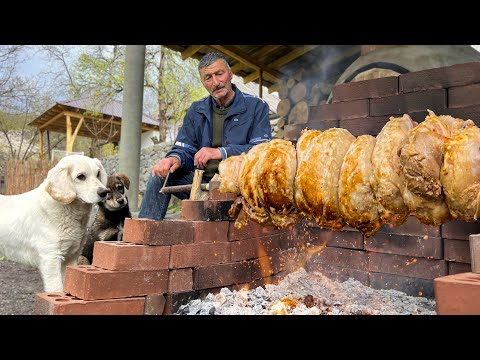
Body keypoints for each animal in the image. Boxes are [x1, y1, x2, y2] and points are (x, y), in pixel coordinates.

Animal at [0, 155, 108, 292]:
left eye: (98, 174)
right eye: (81, 176)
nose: (104, 192)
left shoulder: (71, 257)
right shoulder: (51, 257)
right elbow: (56, 289)